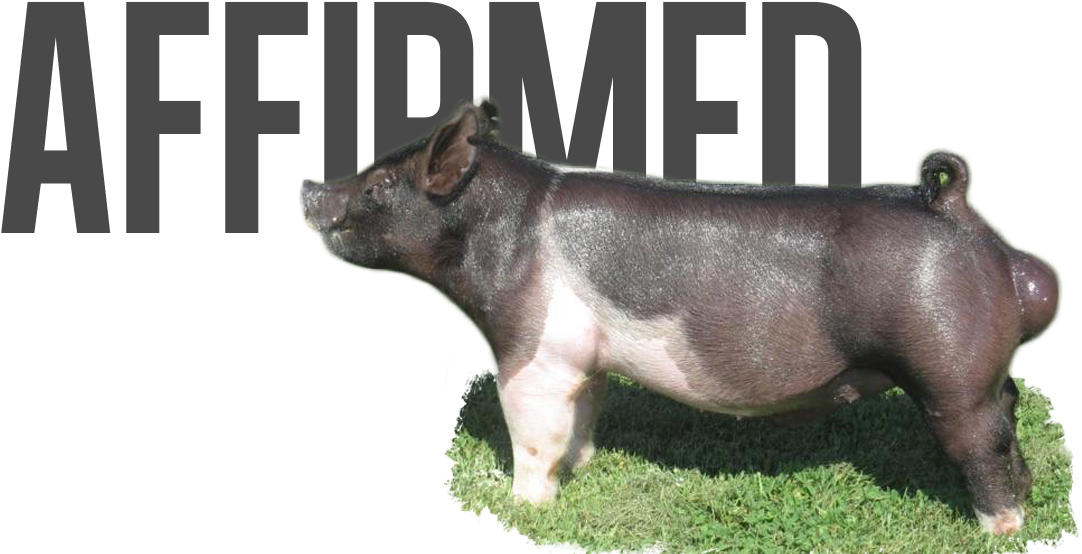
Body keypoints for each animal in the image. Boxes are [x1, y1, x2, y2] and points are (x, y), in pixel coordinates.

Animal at [298, 95, 1061, 535]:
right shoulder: (584, 358)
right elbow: (584, 415)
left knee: (982, 447)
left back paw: (1000, 530)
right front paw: (583, 465)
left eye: (380, 184)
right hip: (985, 375)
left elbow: (532, 434)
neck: (492, 233)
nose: (308, 186)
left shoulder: (531, 350)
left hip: (948, 374)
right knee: (1010, 418)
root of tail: (956, 208)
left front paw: (522, 507)